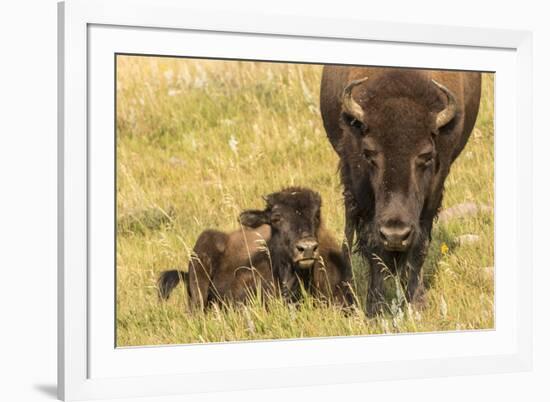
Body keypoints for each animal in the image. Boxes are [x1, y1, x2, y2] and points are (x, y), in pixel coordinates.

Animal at [320, 66, 484, 318]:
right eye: (369, 153)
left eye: (426, 156)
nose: (395, 234)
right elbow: (373, 245)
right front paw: (375, 308)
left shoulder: (434, 190)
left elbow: (419, 244)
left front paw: (416, 304)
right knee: (349, 228)